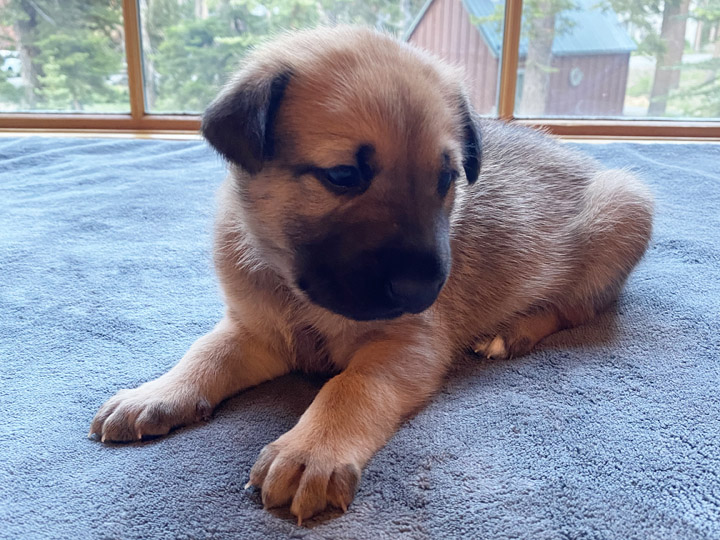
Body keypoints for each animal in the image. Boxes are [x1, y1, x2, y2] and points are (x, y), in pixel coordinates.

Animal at [88, 25, 652, 524]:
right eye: (343, 176)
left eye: (446, 178)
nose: (425, 290)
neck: (295, 287)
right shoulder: (257, 332)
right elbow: (205, 352)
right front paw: (156, 394)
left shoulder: (407, 344)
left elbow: (351, 386)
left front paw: (310, 450)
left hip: (625, 208)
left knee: (575, 308)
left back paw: (510, 332)